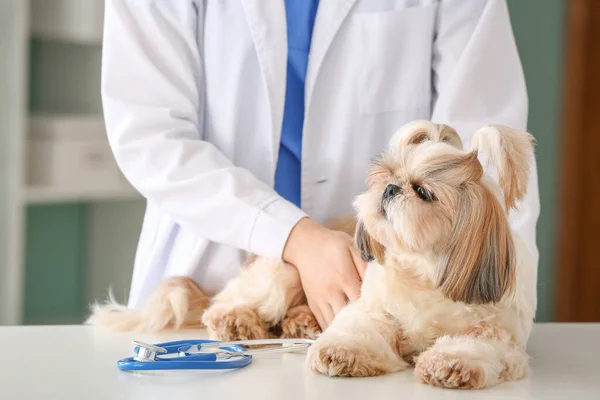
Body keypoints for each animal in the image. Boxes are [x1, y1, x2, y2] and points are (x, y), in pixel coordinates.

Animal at [88, 120, 536, 390]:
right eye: (387, 175)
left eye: (424, 191)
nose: (390, 189)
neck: (424, 274)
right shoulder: (371, 312)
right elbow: (357, 333)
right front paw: (339, 353)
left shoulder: (495, 335)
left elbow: (470, 347)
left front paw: (450, 365)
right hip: (281, 273)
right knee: (227, 306)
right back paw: (240, 322)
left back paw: (300, 322)